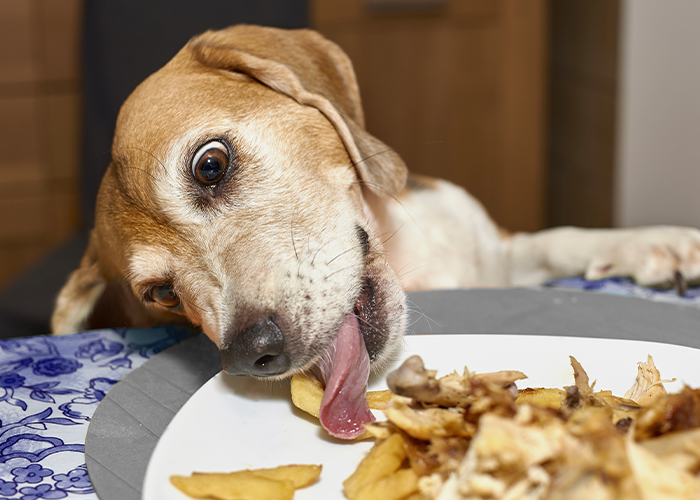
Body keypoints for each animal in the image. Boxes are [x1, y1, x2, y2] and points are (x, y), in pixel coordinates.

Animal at [49, 26, 700, 434]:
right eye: (160, 293)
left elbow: (563, 237)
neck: (413, 258)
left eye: (210, 165)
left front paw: (658, 244)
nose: (250, 353)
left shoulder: (496, 249)